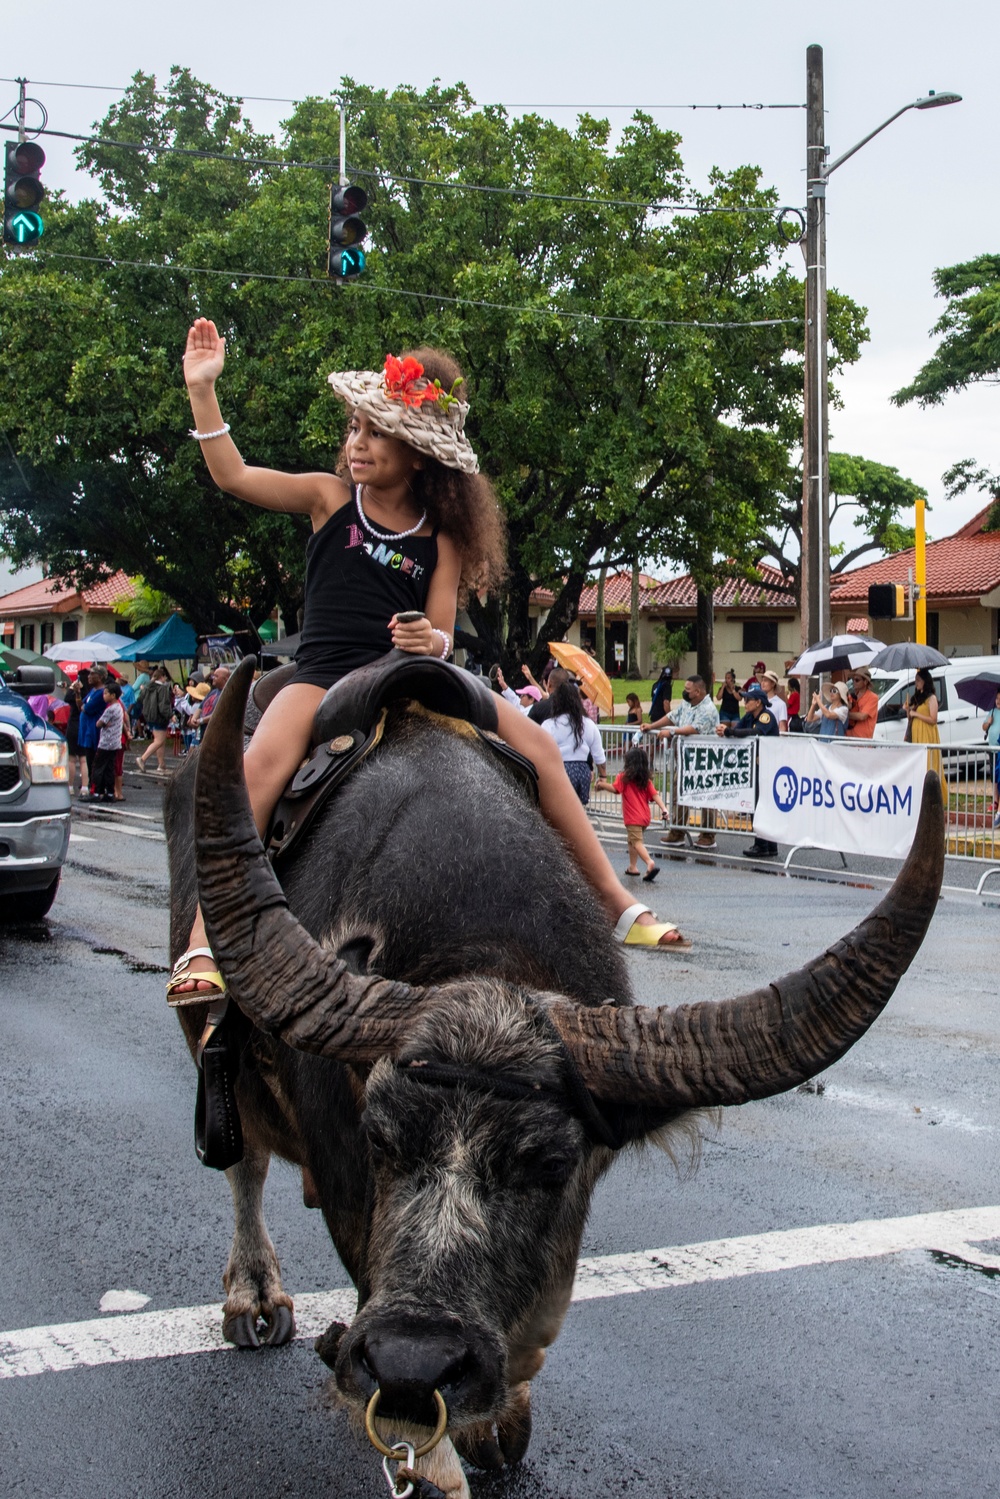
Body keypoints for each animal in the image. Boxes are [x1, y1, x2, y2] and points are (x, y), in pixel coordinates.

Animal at [166, 665, 947, 1499]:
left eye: (551, 1163)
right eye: (378, 1137)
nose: (413, 1363)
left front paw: (502, 1411)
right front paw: (433, 1447)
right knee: (244, 1159)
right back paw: (254, 1295)